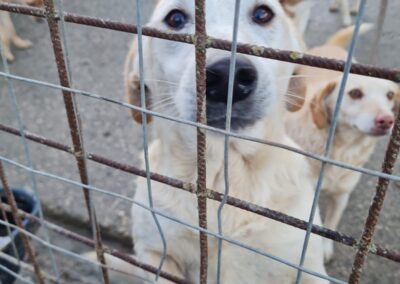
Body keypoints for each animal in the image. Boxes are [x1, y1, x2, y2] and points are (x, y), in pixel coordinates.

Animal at [124, 1, 328, 282]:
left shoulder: (306, 266)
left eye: (262, 14)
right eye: (175, 19)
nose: (227, 77)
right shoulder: (154, 250)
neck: (224, 170)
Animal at [286, 24, 398, 262]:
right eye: (355, 93)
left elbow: (331, 224)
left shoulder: (341, 196)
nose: (386, 120)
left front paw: (325, 247)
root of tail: (331, 46)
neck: (341, 149)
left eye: (390, 95)